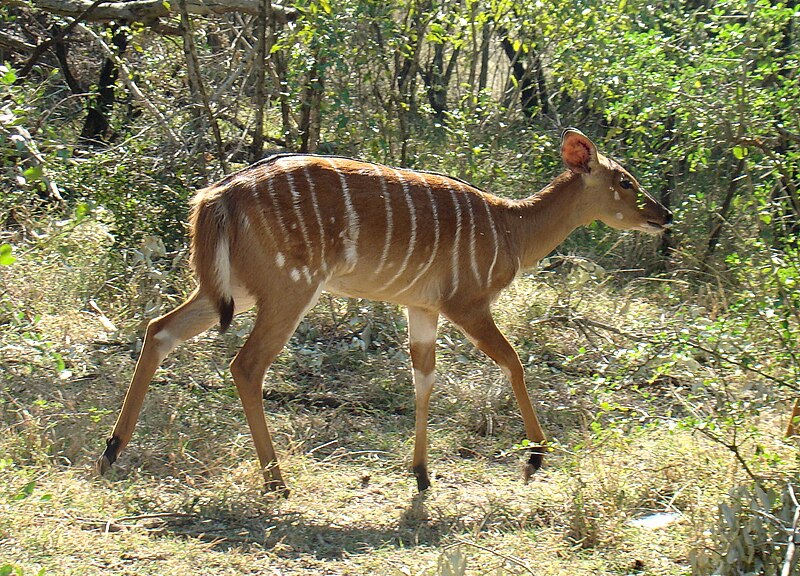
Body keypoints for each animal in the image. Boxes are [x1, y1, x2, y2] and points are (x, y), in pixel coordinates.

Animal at [100, 128, 676, 492]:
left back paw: (112, 450)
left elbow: (423, 378)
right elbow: (512, 360)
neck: (511, 228)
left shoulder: (422, 308)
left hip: (232, 291)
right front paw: (535, 456)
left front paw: (421, 474)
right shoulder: (467, 303)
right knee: (245, 366)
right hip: (289, 290)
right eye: (626, 181)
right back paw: (277, 482)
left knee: (158, 329)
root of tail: (218, 195)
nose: (665, 215)